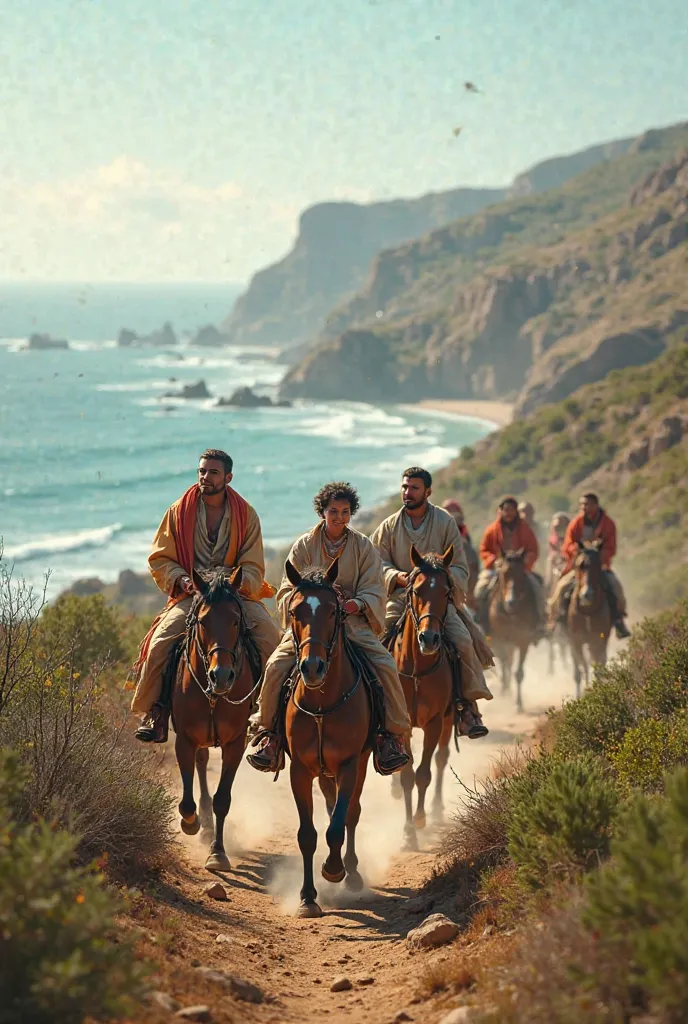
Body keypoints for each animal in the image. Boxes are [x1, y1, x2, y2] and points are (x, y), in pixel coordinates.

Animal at [173, 569, 259, 872]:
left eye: (235, 620)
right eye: (203, 621)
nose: (220, 676)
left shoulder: (236, 743)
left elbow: (223, 800)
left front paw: (217, 853)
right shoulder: (184, 739)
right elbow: (186, 803)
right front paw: (192, 823)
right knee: (200, 766)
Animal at [282, 561, 372, 921]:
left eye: (334, 611)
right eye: (295, 611)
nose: (312, 667)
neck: (321, 703)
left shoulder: (349, 765)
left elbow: (338, 825)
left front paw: (334, 870)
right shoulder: (300, 771)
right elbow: (308, 834)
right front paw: (307, 897)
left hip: (359, 766)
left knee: (351, 814)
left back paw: (352, 872)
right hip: (323, 774)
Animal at [487, 548, 540, 708]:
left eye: (522, 573)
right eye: (503, 573)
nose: (512, 602)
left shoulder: (524, 640)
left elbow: (519, 672)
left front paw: (519, 704)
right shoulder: (502, 639)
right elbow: (505, 664)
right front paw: (505, 690)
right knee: (506, 663)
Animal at [565, 536, 610, 696]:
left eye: (598, 565)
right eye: (580, 565)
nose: (587, 594)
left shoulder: (598, 639)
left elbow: (596, 665)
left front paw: (597, 690)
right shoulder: (576, 641)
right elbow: (583, 666)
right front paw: (585, 692)